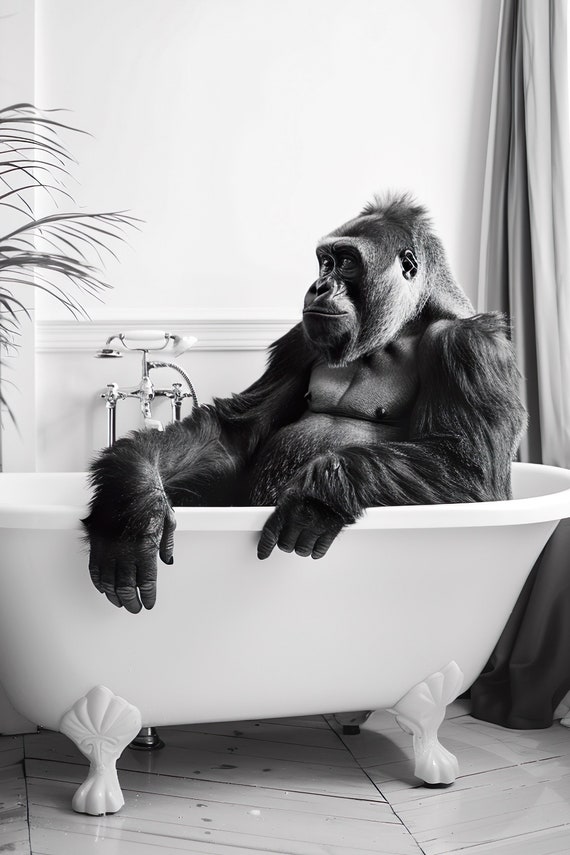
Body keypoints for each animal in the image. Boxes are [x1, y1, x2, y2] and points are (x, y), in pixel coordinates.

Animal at [84, 193, 527, 614]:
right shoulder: (299, 340)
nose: (318, 287)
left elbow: (472, 470)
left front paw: (322, 490)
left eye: (346, 262)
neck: (404, 324)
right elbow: (233, 435)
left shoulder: (472, 347)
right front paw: (132, 505)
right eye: (323, 262)